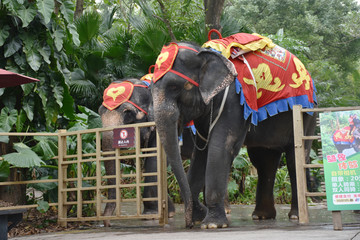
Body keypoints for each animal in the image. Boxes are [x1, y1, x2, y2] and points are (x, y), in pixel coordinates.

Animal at [150, 32, 316, 229]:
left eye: (175, 87)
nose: (189, 224)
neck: (204, 54)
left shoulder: (233, 103)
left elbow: (220, 148)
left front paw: (212, 224)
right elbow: (202, 153)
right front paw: (200, 217)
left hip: (306, 113)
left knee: (294, 158)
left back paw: (295, 216)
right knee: (264, 160)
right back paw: (262, 216)